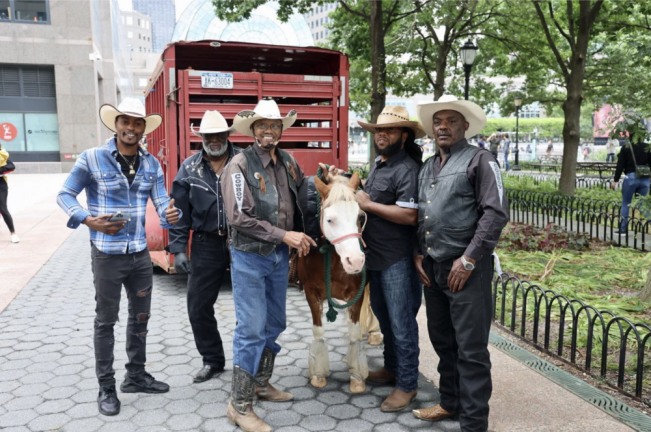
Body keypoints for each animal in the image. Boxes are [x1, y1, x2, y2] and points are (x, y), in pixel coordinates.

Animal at [296, 174, 370, 394]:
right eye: (329, 219)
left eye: (360, 217)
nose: (355, 261)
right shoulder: (311, 292)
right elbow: (318, 331)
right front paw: (318, 375)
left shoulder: (357, 293)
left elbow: (354, 333)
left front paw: (357, 376)